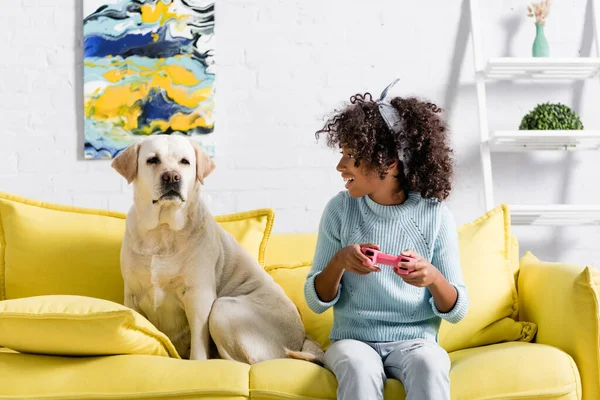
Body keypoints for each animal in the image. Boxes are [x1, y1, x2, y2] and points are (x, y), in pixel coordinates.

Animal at [110, 134, 322, 362]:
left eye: (185, 162)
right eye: (152, 160)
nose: (172, 177)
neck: (163, 230)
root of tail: (302, 340)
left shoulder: (199, 296)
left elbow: (198, 345)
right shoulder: (132, 296)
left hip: (223, 308)